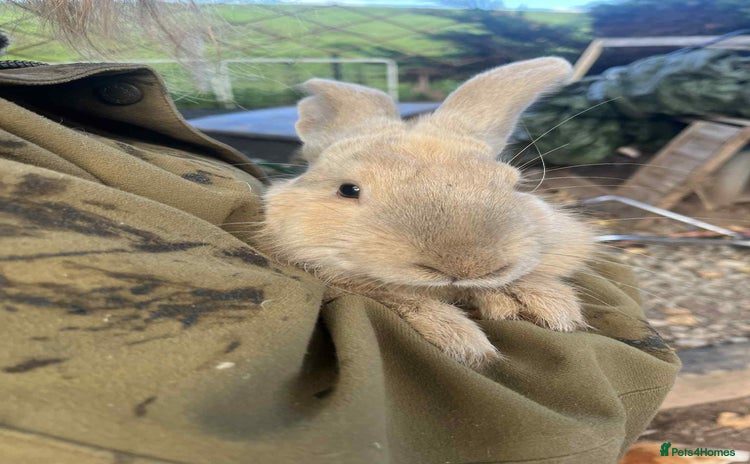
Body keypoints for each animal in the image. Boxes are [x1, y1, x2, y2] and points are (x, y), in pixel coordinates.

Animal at [258, 57, 597, 368]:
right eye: (348, 189)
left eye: (513, 184)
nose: (467, 266)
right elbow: (395, 295)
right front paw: (463, 340)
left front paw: (549, 306)